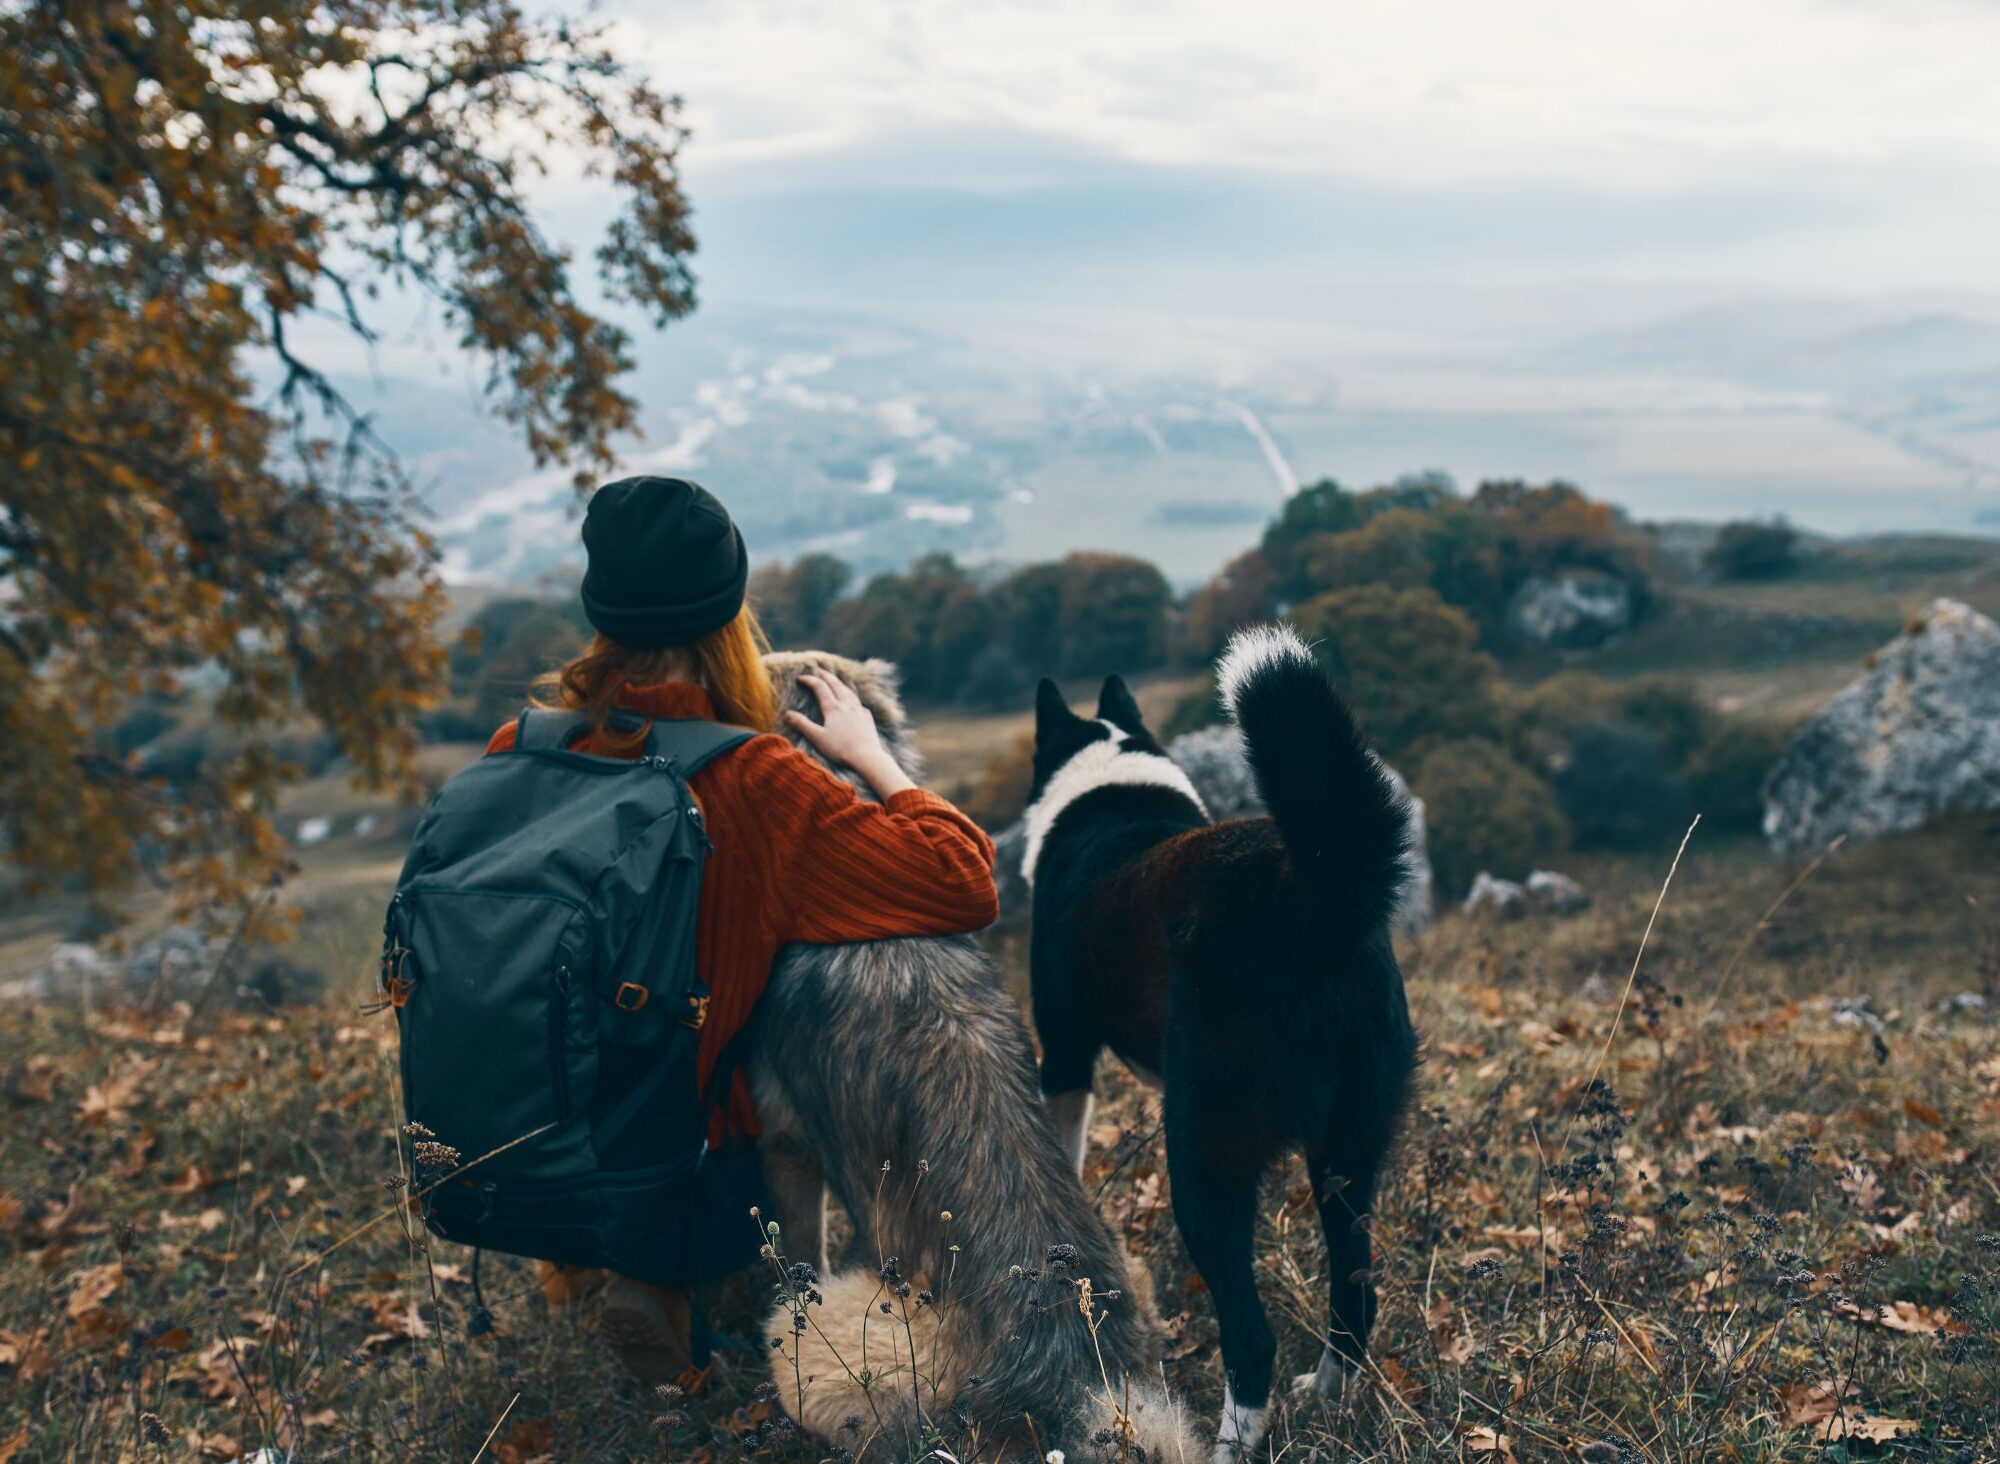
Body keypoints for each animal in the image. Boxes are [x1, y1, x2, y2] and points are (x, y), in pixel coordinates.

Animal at [1032, 624, 1424, 1456]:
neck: (1110, 786)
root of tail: (1314, 900)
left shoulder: (1066, 1053)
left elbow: (1062, 1149)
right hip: (1349, 1151)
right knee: (1354, 1291)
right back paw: (1329, 1395)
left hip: (1206, 1155)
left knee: (1251, 1338)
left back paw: (1229, 1443)